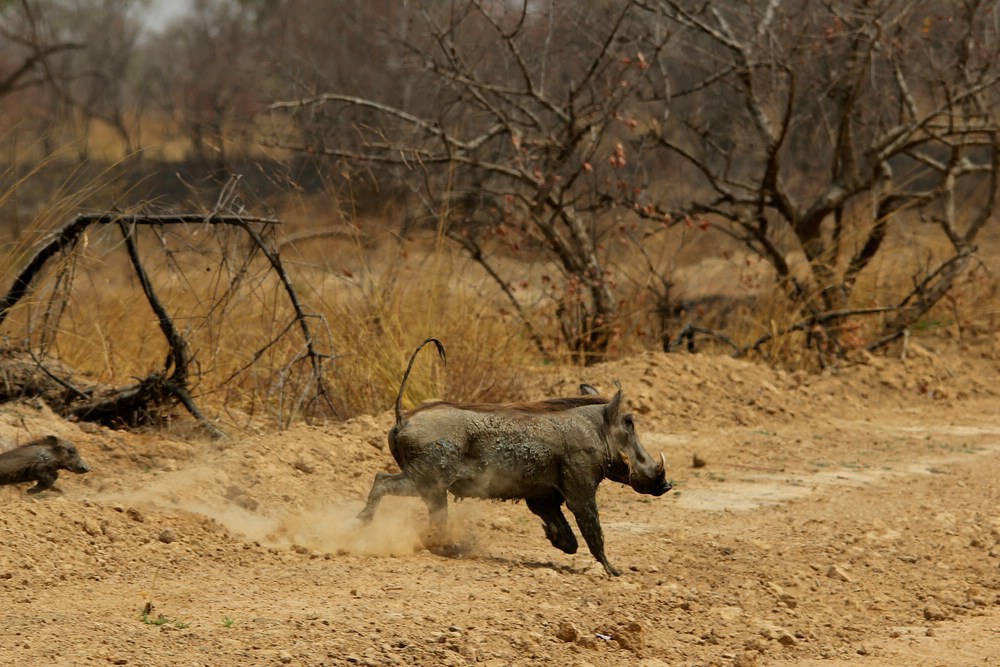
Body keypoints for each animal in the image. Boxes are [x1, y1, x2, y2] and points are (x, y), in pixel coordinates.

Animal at [358, 338, 671, 576]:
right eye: (629, 422)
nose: (666, 485)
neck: (595, 431)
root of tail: (403, 418)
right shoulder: (580, 491)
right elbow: (593, 529)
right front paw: (614, 572)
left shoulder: (542, 497)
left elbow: (570, 539)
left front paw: (552, 537)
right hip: (424, 478)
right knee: (382, 480)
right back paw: (362, 524)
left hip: (433, 489)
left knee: (435, 519)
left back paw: (449, 549)